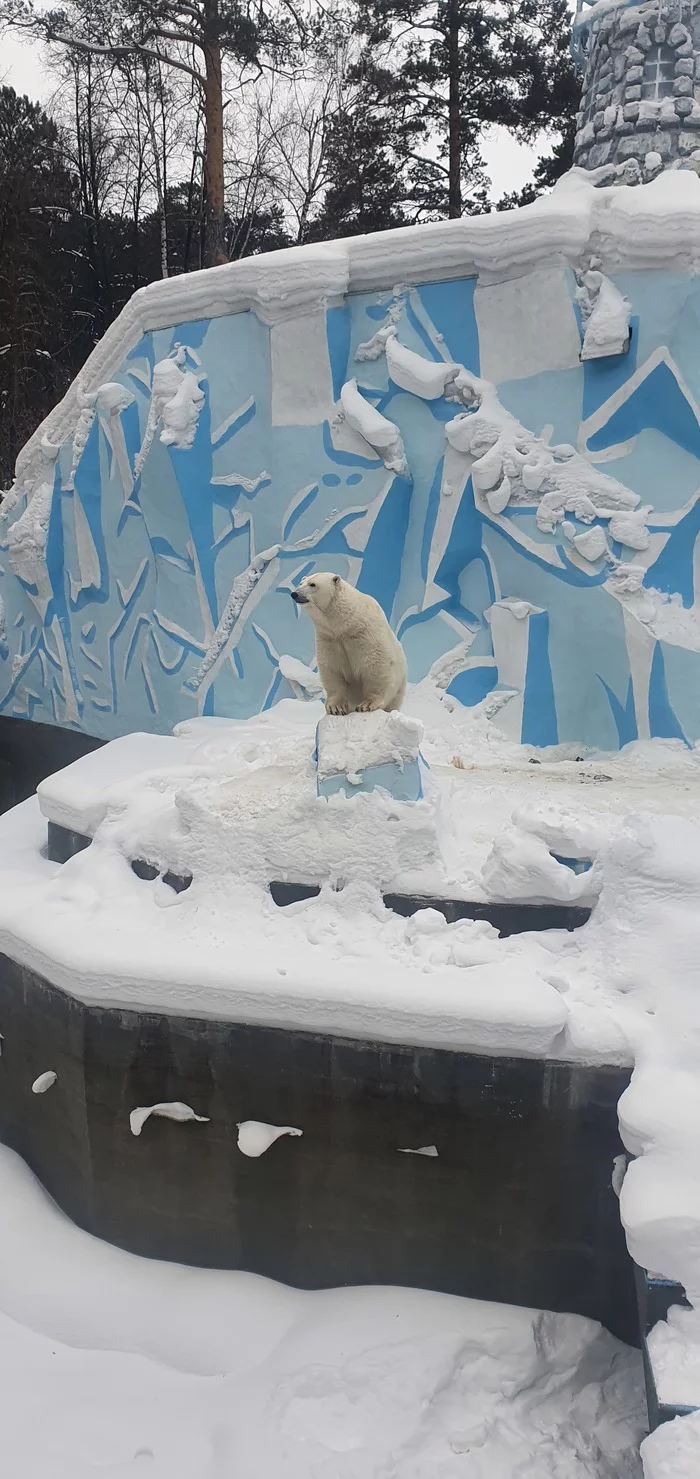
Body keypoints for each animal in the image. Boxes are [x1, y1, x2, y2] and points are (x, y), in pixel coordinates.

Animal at [290, 570, 408, 715]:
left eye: (313, 584)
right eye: (300, 583)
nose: (295, 593)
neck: (346, 624)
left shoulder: (365, 634)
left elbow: (375, 665)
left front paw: (367, 705)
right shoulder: (329, 638)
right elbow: (332, 669)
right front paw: (335, 708)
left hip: (400, 684)